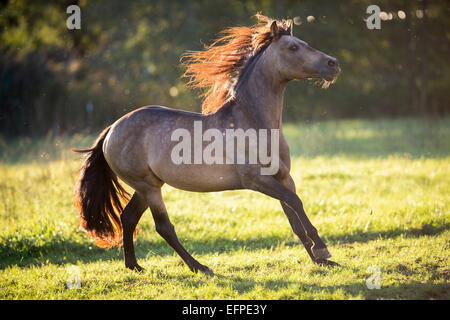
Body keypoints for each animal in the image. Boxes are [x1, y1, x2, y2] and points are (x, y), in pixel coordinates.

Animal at [74, 14, 342, 276]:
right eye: (293, 47)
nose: (333, 64)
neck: (254, 121)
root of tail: (111, 130)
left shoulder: (283, 177)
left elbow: (294, 218)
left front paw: (320, 260)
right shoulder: (256, 180)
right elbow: (296, 203)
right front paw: (322, 250)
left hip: (146, 187)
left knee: (128, 218)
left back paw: (134, 266)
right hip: (148, 187)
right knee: (163, 227)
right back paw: (199, 267)